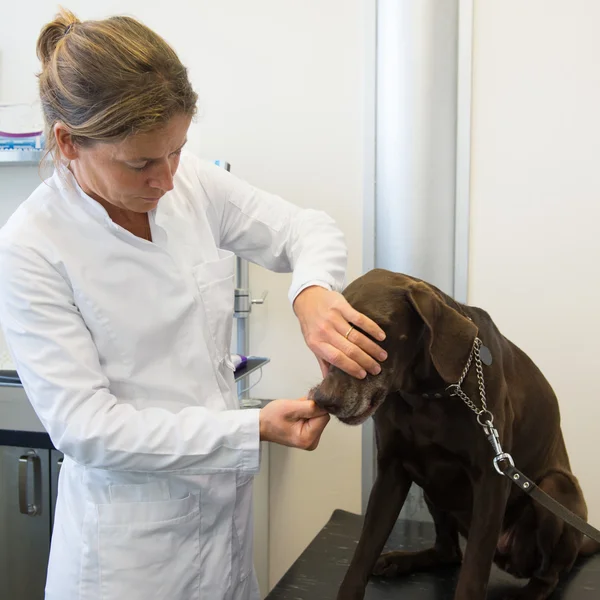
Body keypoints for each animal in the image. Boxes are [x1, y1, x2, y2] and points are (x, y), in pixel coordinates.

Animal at [312, 270, 596, 600]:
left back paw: (526, 593)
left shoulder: (491, 479)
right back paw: (402, 561)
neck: (427, 394)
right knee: (448, 552)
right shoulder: (392, 472)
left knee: (549, 575)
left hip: (554, 490)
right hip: (432, 486)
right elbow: (362, 555)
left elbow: (473, 573)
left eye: (372, 331)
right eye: (330, 333)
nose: (323, 399)